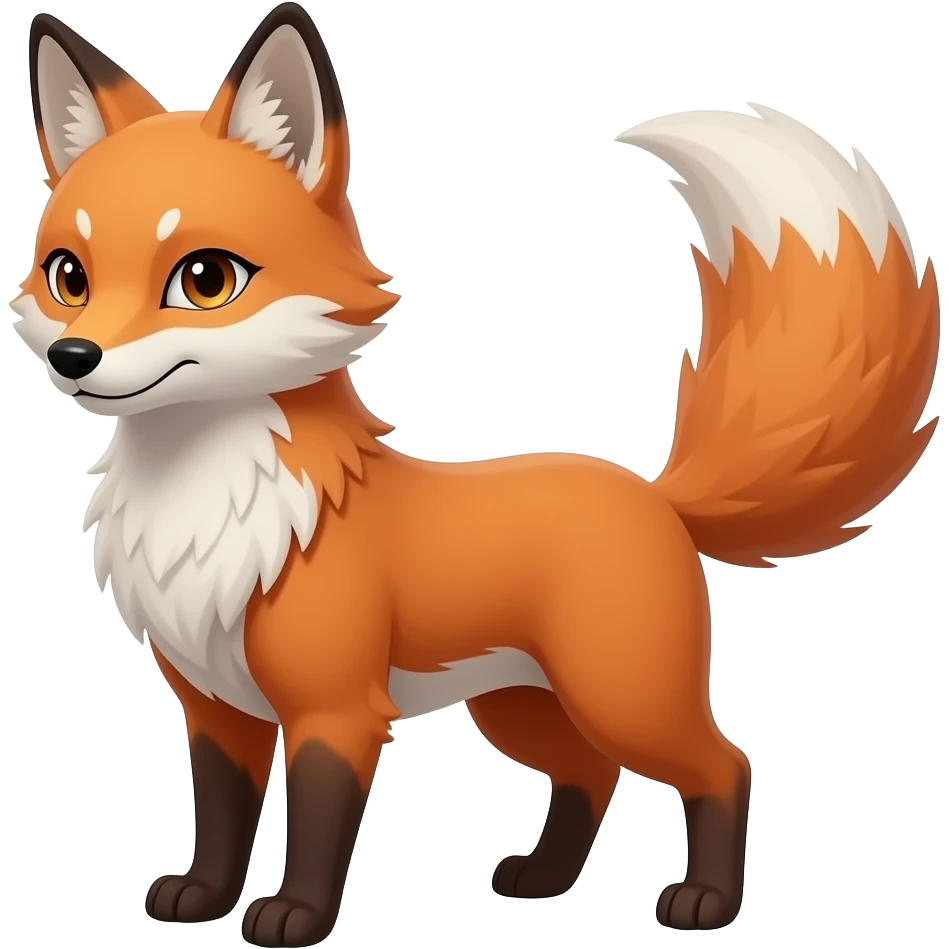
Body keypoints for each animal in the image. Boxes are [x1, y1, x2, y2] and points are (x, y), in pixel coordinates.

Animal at [12, 4, 941, 946]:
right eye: (68, 277)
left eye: (204, 279)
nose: (75, 356)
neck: (206, 503)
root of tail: (652, 492)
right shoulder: (215, 707)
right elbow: (222, 818)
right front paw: (202, 898)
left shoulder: (335, 710)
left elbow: (316, 824)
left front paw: (296, 916)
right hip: (521, 708)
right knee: (590, 775)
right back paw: (543, 879)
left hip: (621, 694)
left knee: (724, 764)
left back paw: (704, 902)